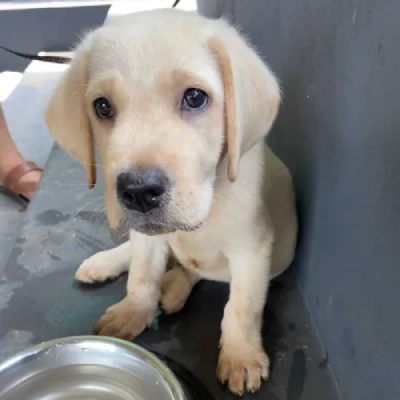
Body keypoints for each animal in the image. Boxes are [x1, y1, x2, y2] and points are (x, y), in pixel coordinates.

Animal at [46, 7, 296, 396]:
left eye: (195, 98)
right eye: (102, 107)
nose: (138, 191)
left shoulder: (252, 249)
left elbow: (242, 306)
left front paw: (240, 355)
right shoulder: (148, 240)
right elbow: (141, 278)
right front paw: (133, 311)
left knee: (194, 270)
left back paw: (174, 287)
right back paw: (108, 264)